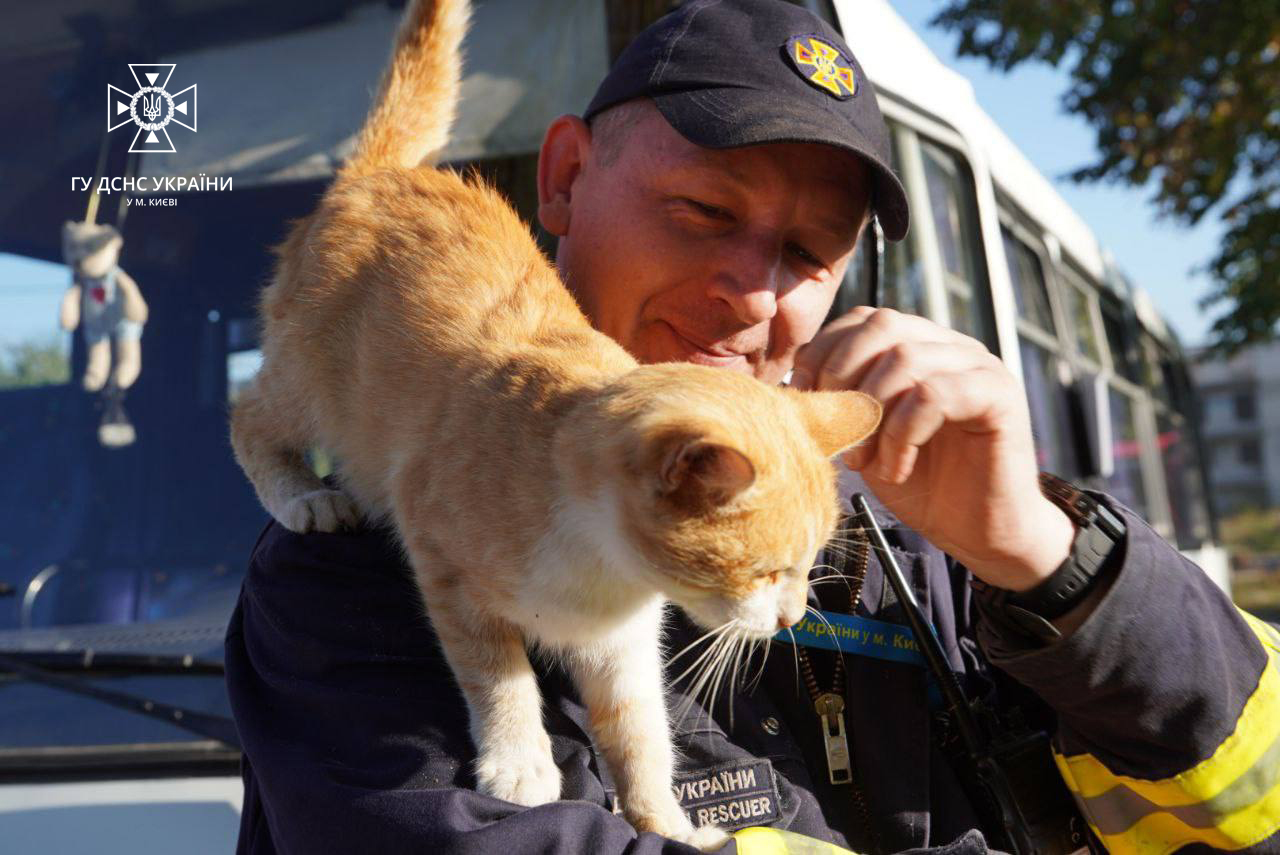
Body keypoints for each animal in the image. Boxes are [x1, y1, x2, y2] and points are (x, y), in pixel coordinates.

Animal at [230, 0, 880, 844]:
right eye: (767, 571)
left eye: (805, 569)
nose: (793, 614)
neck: (605, 571)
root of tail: (378, 173)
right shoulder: (444, 563)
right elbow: (498, 672)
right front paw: (521, 763)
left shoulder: (624, 646)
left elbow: (640, 735)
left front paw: (670, 822)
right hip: (310, 377)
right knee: (248, 413)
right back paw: (305, 496)